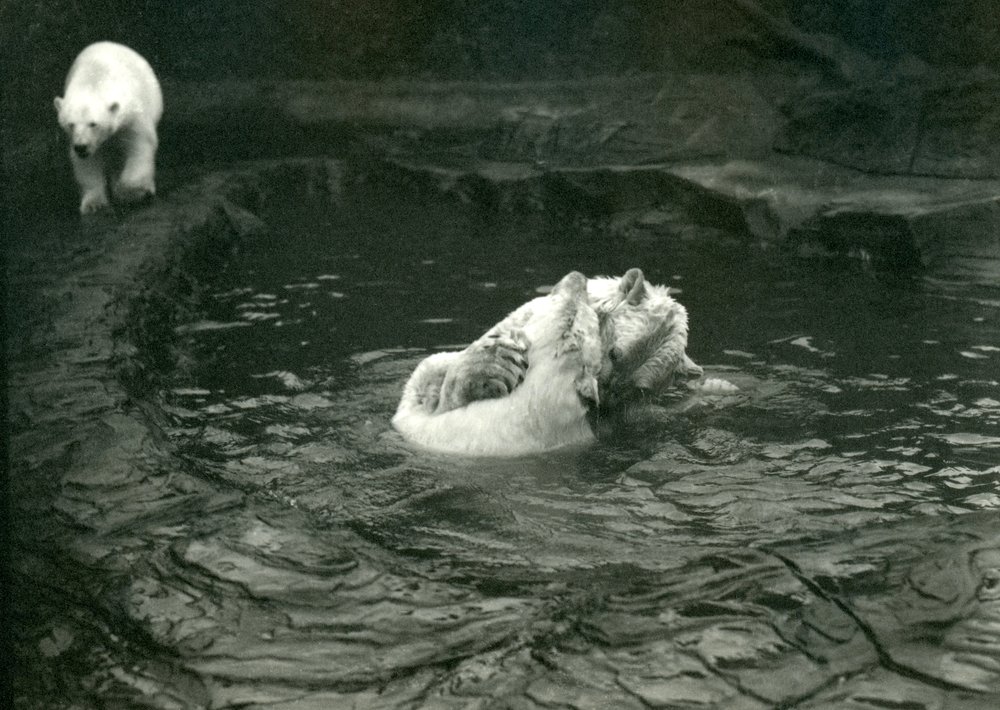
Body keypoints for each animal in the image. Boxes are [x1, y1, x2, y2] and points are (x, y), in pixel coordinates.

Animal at [54, 42, 163, 214]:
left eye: (93, 123)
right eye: (71, 124)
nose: (81, 147)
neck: (94, 81)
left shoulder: (132, 118)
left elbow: (139, 148)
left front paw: (130, 191)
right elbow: (88, 164)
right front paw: (93, 203)